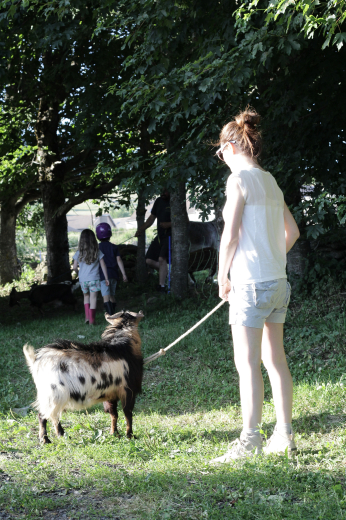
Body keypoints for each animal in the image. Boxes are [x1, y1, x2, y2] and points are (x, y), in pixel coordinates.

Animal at [23, 310, 143, 444]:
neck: (123, 346)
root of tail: (35, 361)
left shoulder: (110, 393)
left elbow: (113, 413)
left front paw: (114, 433)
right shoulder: (128, 390)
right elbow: (128, 413)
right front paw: (130, 435)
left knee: (53, 415)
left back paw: (61, 435)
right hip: (53, 394)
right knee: (43, 415)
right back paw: (45, 439)